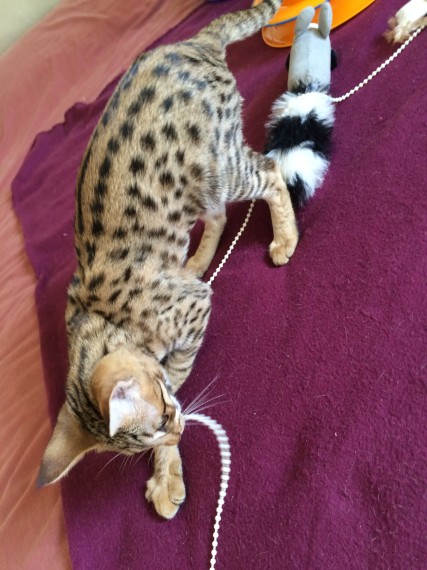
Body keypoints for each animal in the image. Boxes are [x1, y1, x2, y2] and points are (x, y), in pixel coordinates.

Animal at [38, 0, 298, 519]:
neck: (101, 323)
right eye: (152, 430)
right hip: (198, 186)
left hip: (221, 166)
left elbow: (179, 375)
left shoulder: (193, 311)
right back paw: (196, 259)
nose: (176, 428)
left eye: (161, 413)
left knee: (271, 171)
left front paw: (166, 471)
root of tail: (193, 42)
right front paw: (165, 464)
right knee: (217, 214)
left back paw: (285, 238)